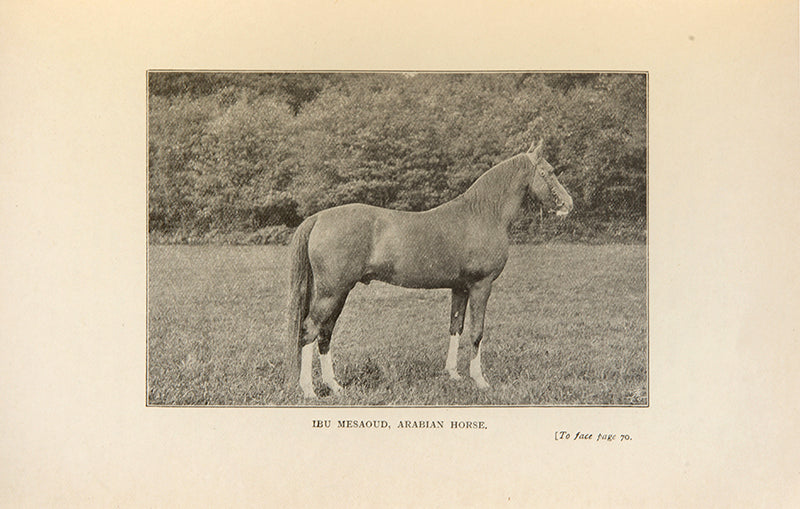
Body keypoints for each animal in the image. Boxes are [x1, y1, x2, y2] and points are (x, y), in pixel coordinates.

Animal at [286, 139, 573, 398]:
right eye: (549, 172)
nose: (569, 204)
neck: (483, 214)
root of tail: (319, 217)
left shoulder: (460, 288)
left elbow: (455, 327)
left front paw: (453, 374)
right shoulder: (481, 285)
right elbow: (476, 332)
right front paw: (480, 380)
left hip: (339, 293)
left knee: (325, 333)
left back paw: (335, 386)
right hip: (331, 292)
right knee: (310, 329)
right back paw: (309, 390)